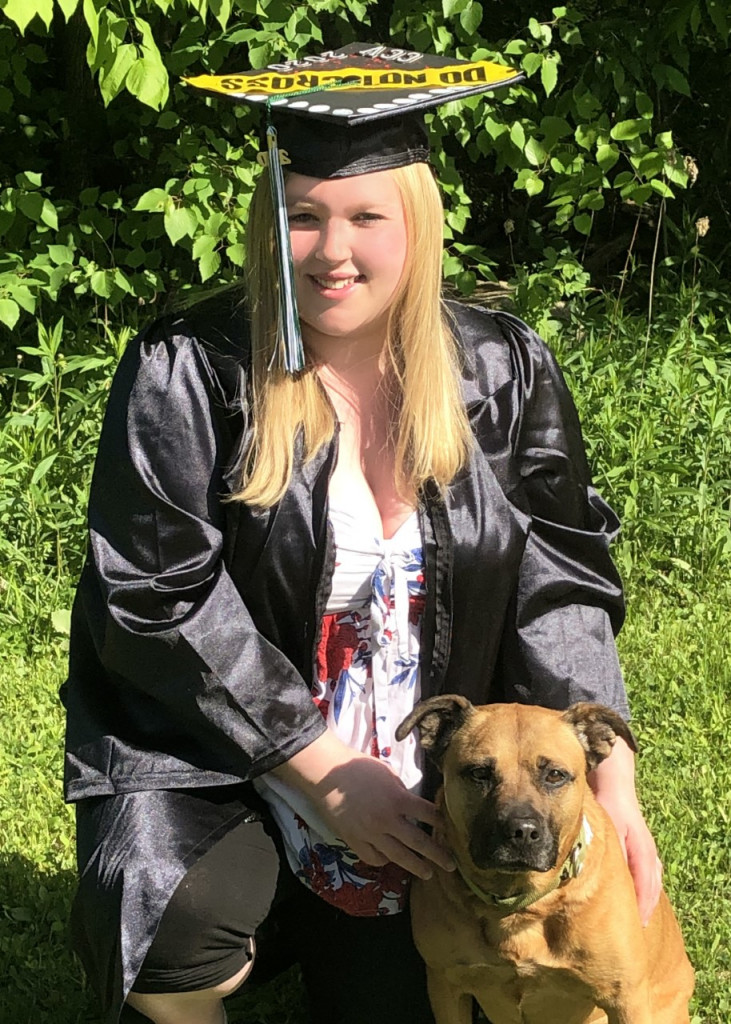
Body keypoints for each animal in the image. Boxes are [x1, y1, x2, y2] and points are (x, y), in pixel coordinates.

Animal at [395, 696, 692, 1024]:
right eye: (479, 773)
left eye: (555, 775)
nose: (522, 832)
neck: (520, 906)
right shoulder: (446, 985)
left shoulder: (626, 999)